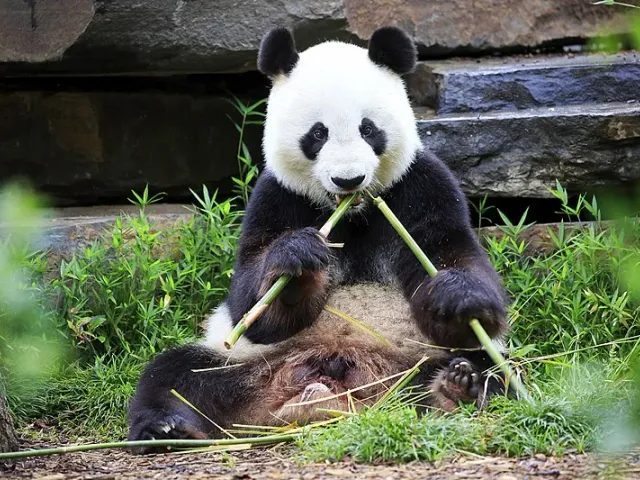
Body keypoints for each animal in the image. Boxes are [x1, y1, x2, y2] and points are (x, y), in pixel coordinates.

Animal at [127, 26, 511, 453]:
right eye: (317, 133)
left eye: (368, 129)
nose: (348, 179)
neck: (352, 213)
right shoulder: (276, 197)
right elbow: (251, 301)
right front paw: (297, 262)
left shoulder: (422, 186)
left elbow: (453, 259)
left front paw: (456, 296)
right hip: (244, 363)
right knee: (174, 375)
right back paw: (165, 430)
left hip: (413, 363)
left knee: (491, 368)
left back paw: (457, 388)